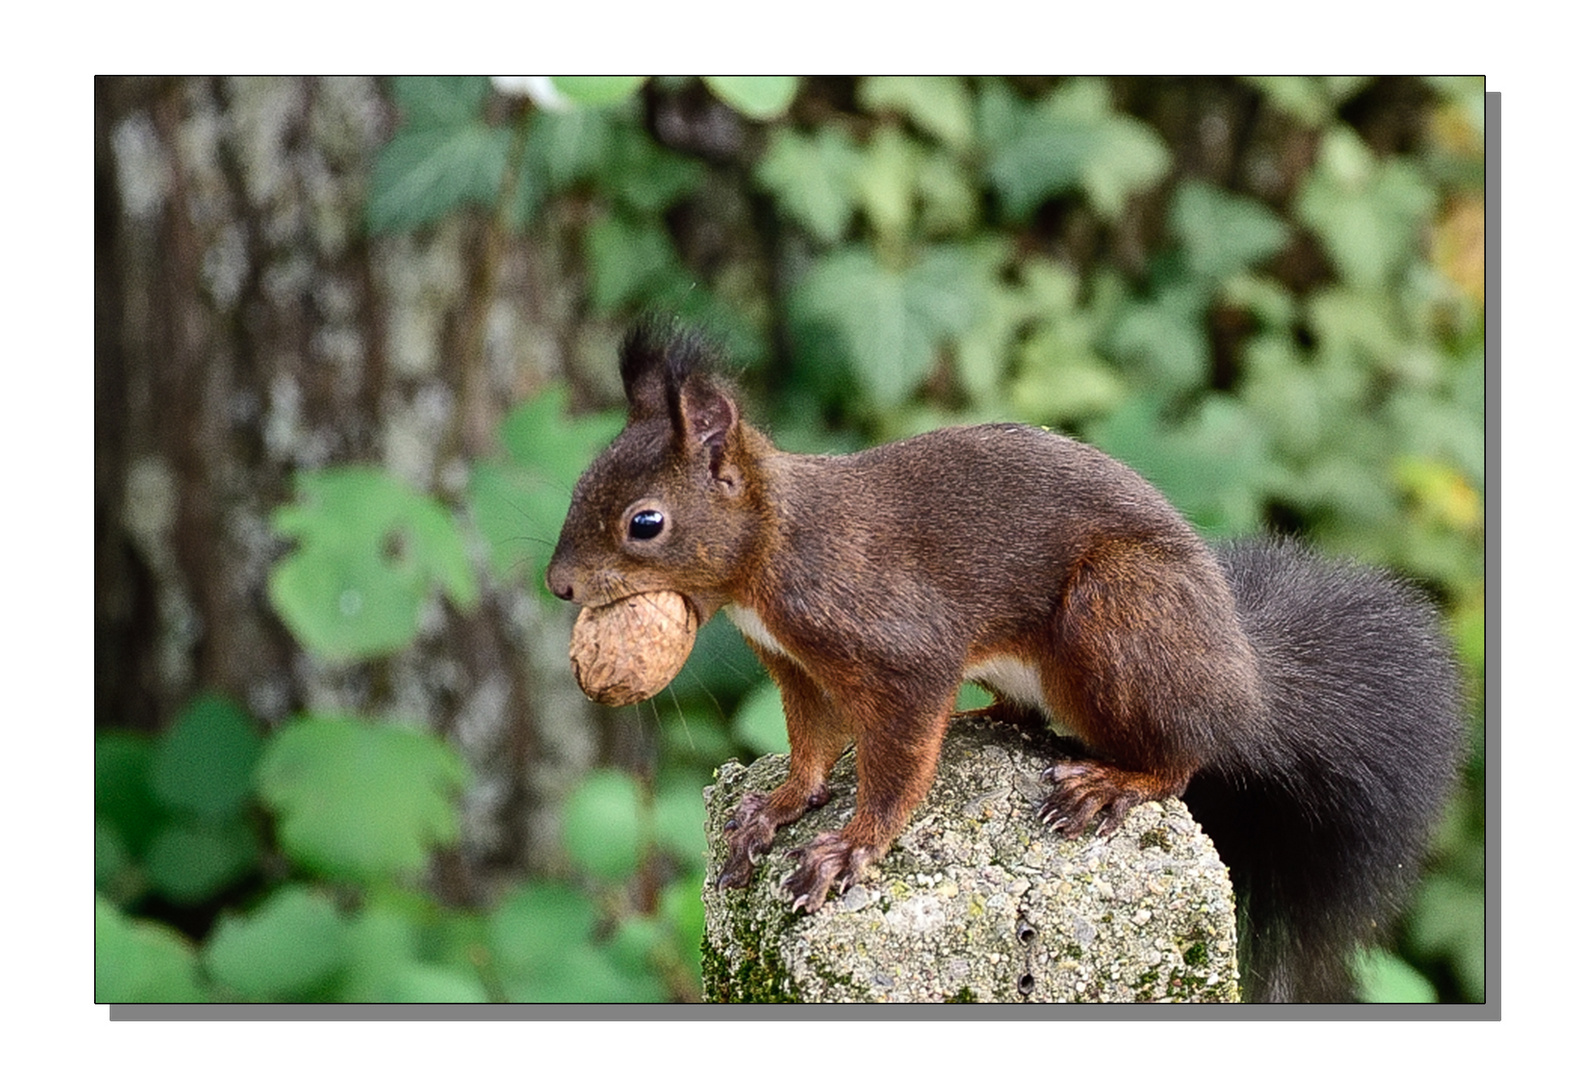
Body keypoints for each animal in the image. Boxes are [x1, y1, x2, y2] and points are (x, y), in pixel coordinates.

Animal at [549, 320, 1459, 1004]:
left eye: (644, 523)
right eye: (580, 482)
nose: (559, 584)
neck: (771, 551)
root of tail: (1242, 682)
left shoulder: (898, 645)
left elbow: (896, 762)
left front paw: (851, 848)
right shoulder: (795, 666)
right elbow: (811, 747)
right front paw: (774, 811)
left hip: (1120, 613)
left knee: (1185, 758)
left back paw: (1111, 784)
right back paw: (989, 723)